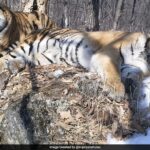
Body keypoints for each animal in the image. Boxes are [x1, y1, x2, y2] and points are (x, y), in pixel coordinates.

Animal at [0, 27, 149, 99]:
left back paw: (14, 66)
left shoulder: (133, 66)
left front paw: (134, 88)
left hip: (43, 57)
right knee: (4, 58)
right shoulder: (108, 53)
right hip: (29, 45)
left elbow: (135, 75)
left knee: (22, 59)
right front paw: (116, 91)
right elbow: (113, 72)